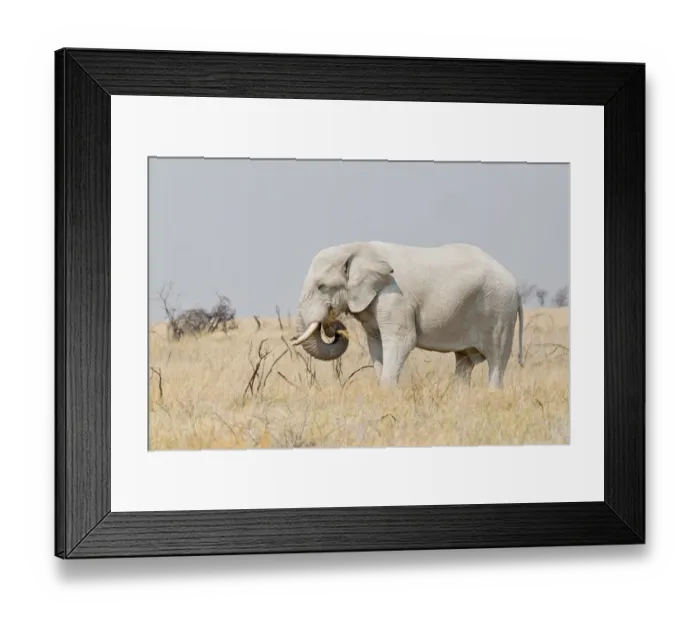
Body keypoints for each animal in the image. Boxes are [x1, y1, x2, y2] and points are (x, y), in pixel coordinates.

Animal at [290, 241, 524, 388]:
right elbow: (376, 344)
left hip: (500, 312)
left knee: (496, 361)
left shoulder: (394, 297)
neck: (357, 248)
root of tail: (515, 284)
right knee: (464, 362)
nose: (332, 328)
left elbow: (402, 340)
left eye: (322, 286)